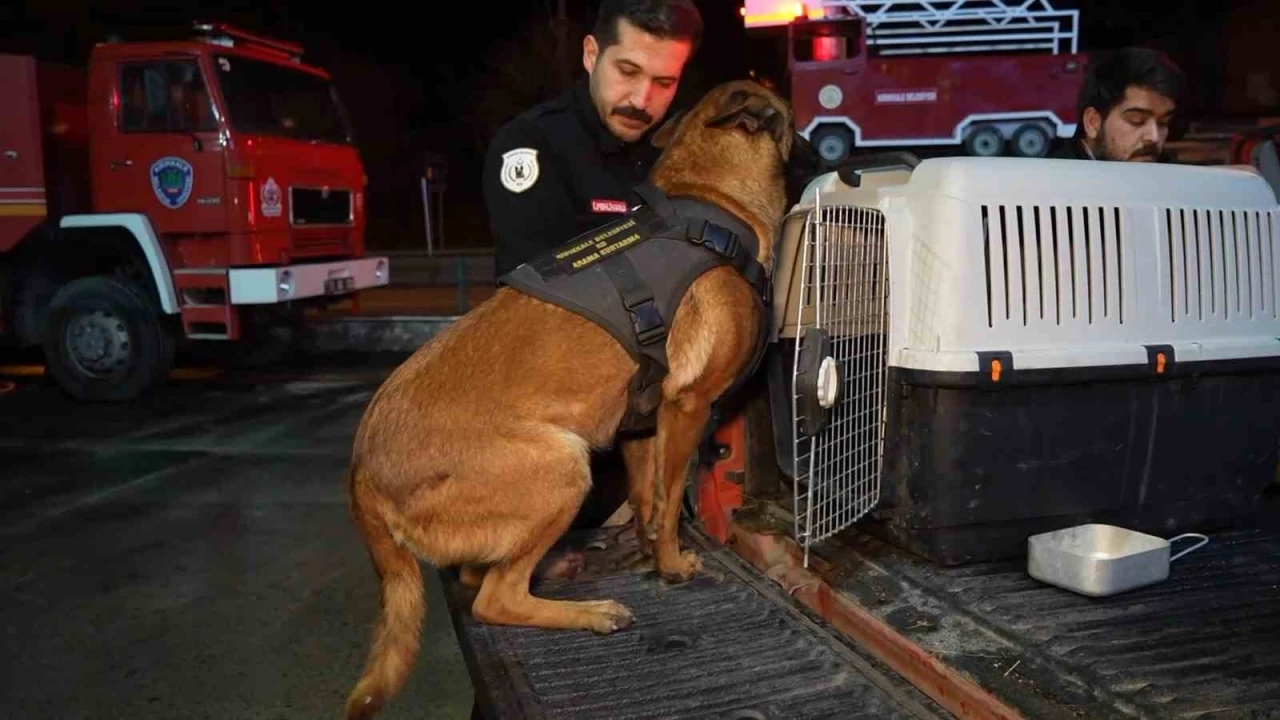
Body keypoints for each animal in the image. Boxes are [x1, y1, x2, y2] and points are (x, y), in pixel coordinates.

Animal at [345, 78, 793, 717]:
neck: (709, 197)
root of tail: (361, 471)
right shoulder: (687, 407)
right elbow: (670, 499)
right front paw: (672, 565)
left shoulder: (642, 423)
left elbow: (649, 501)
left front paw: (646, 550)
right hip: (565, 468)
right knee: (492, 597)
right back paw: (589, 613)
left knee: (479, 578)